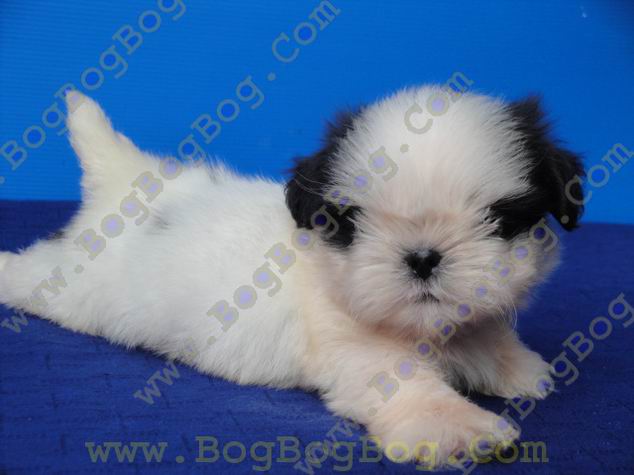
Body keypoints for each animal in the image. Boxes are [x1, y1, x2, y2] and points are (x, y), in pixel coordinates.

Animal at [0, 87, 584, 468]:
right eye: (354, 222)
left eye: (497, 220)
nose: (422, 256)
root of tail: (128, 187)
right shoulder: (355, 347)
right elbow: (407, 384)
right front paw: (457, 426)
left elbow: (483, 333)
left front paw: (513, 364)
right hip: (74, 287)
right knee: (37, 278)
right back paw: (6, 271)